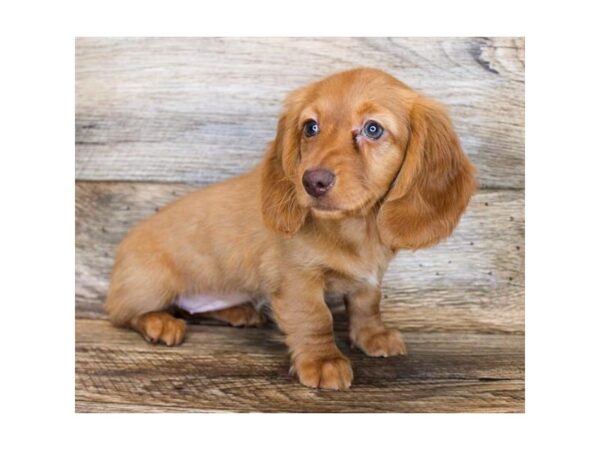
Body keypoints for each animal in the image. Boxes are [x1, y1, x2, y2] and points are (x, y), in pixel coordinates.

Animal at [105, 67, 476, 390]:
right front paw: (323, 362)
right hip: (152, 284)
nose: (312, 181)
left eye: (373, 129)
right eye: (310, 127)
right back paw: (158, 321)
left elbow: (366, 305)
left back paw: (238, 311)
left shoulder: (368, 279)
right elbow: (316, 318)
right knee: (122, 314)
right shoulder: (297, 279)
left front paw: (372, 336)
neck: (354, 228)